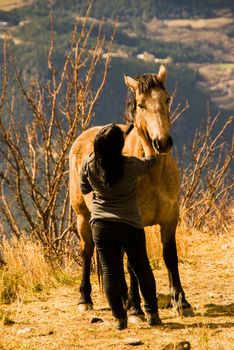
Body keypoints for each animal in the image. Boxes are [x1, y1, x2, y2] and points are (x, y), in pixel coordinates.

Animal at [68, 64, 193, 316]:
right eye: (141, 104)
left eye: (167, 99)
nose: (162, 143)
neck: (151, 170)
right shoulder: (135, 222)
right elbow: (134, 263)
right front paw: (137, 308)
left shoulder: (170, 218)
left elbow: (170, 256)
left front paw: (181, 302)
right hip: (82, 217)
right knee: (87, 250)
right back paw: (85, 299)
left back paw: (123, 297)